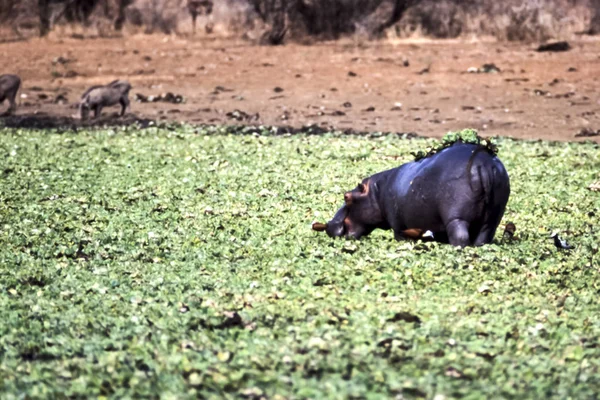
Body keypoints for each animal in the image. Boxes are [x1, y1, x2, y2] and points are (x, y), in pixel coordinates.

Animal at [314, 141, 510, 247]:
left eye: (346, 197)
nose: (329, 225)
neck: (376, 192)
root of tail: (483, 163)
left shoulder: (398, 225)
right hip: (492, 219)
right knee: (484, 235)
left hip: (456, 218)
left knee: (460, 236)